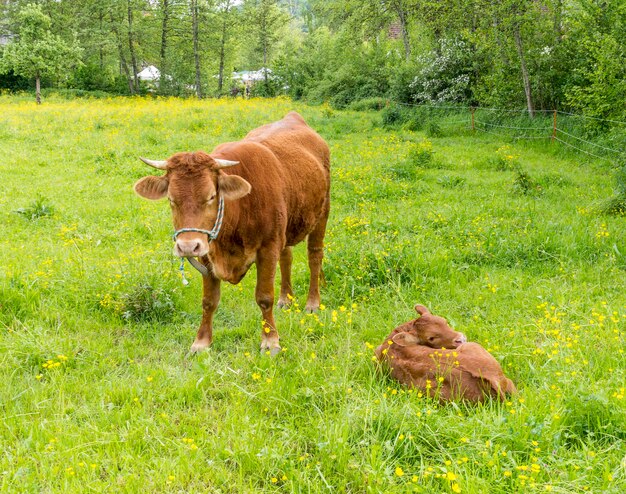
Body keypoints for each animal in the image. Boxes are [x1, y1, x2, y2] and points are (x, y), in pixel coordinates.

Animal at [133, 111, 330, 356]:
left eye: (210, 196)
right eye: (171, 199)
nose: (187, 246)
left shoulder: (268, 247)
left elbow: (264, 297)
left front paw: (270, 340)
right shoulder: (206, 252)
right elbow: (209, 301)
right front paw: (202, 341)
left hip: (322, 213)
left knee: (315, 256)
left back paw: (312, 303)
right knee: (287, 257)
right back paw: (286, 298)